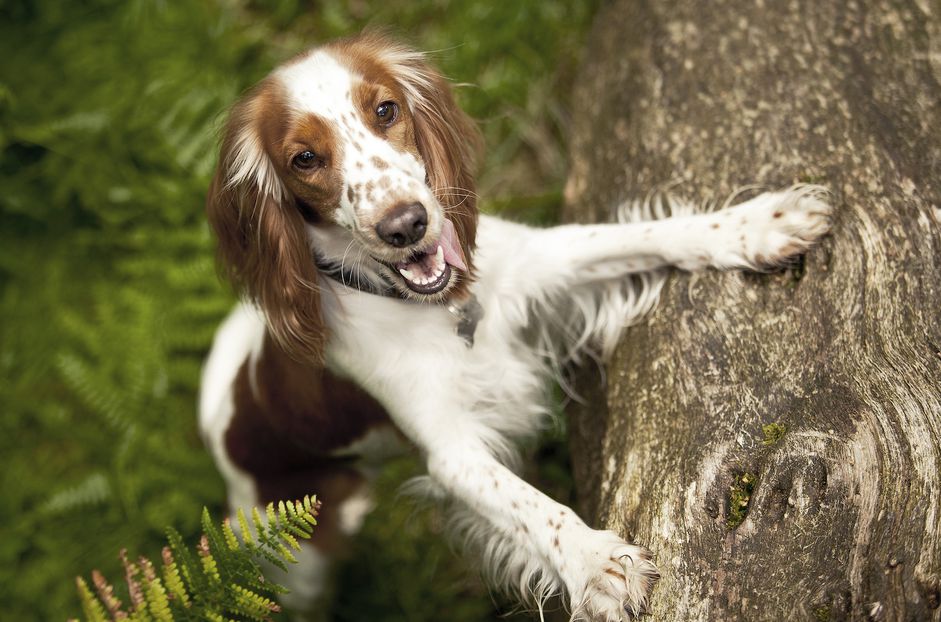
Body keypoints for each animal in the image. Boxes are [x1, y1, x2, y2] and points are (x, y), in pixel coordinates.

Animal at [200, 33, 828, 620]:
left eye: (385, 110)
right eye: (304, 159)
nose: (405, 224)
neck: (441, 308)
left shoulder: (545, 259)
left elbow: (642, 234)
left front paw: (757, 225)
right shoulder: (450, 449)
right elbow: (530, 507)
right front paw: (594, 561)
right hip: (293, 561)